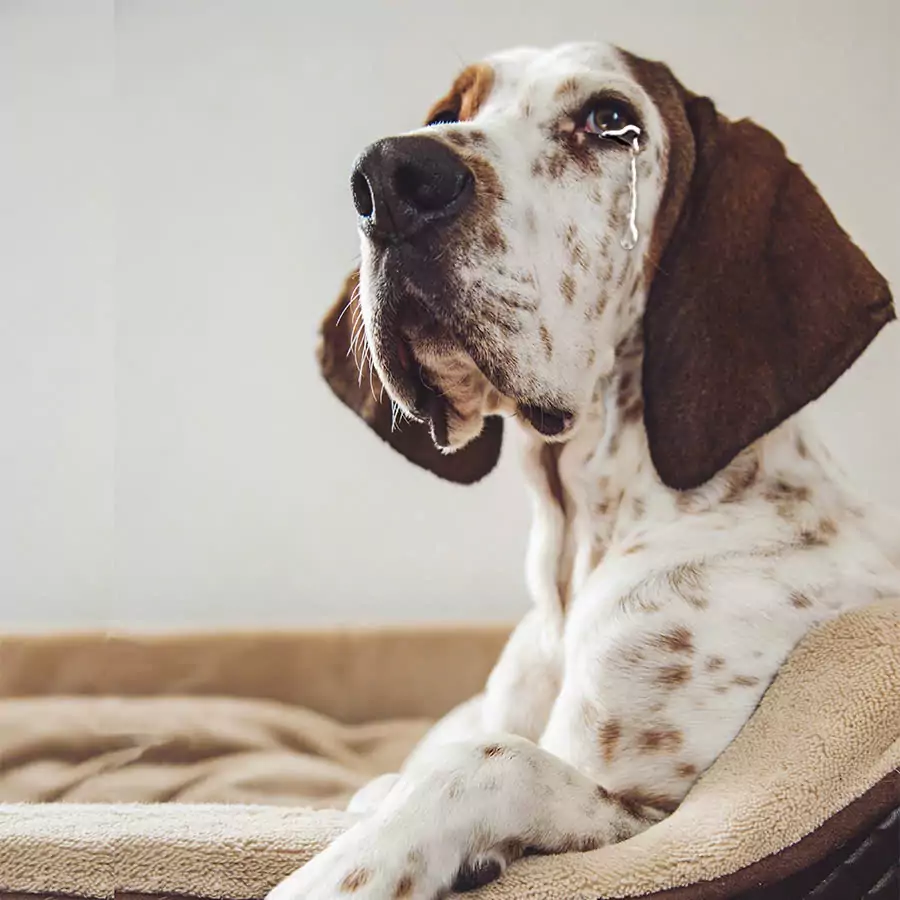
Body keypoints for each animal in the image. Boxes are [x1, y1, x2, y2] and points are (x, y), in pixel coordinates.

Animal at [268, 40, 900, 900]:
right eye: (448, 113)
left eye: (610, 120)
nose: (392, 178)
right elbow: (439, 763)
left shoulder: (667, 817)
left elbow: (494, 762)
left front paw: (344, 870)